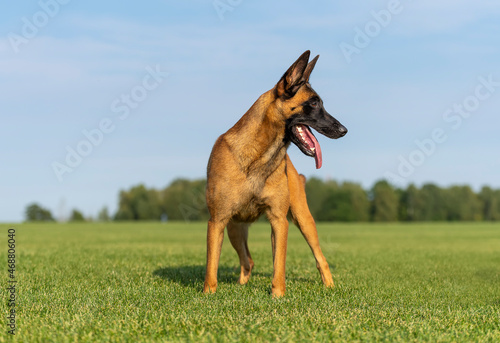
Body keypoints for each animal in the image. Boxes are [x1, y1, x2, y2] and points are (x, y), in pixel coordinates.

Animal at [203, 49, 348, 296]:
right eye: (313, 103)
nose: (343, 130)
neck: (258, 158)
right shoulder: (217, 221)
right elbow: (212, 264)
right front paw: (208, 294)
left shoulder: (279, 221)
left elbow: (279, 264)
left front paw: (278, 295)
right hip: (234, 228)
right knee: (248, 261)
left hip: (303, 219)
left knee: (320, 259)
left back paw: (329, 287)